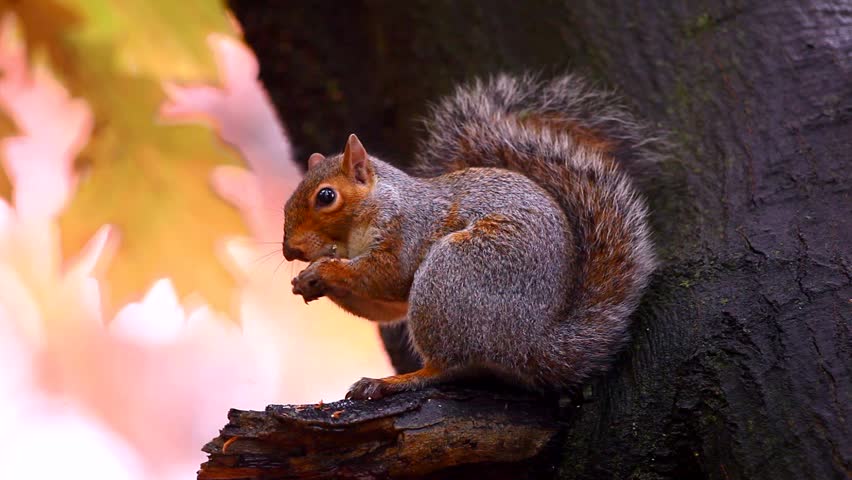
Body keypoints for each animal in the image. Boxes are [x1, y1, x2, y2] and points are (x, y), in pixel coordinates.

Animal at [283, 74, 656, 400]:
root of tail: (530, 343)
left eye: (326, 196)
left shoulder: (408, 230)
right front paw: (308, 282)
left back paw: (395, 381)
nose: (289, 251)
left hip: (454, 270)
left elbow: (386, 275)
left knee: (446, 366)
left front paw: (324, 270)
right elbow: (385, 306)